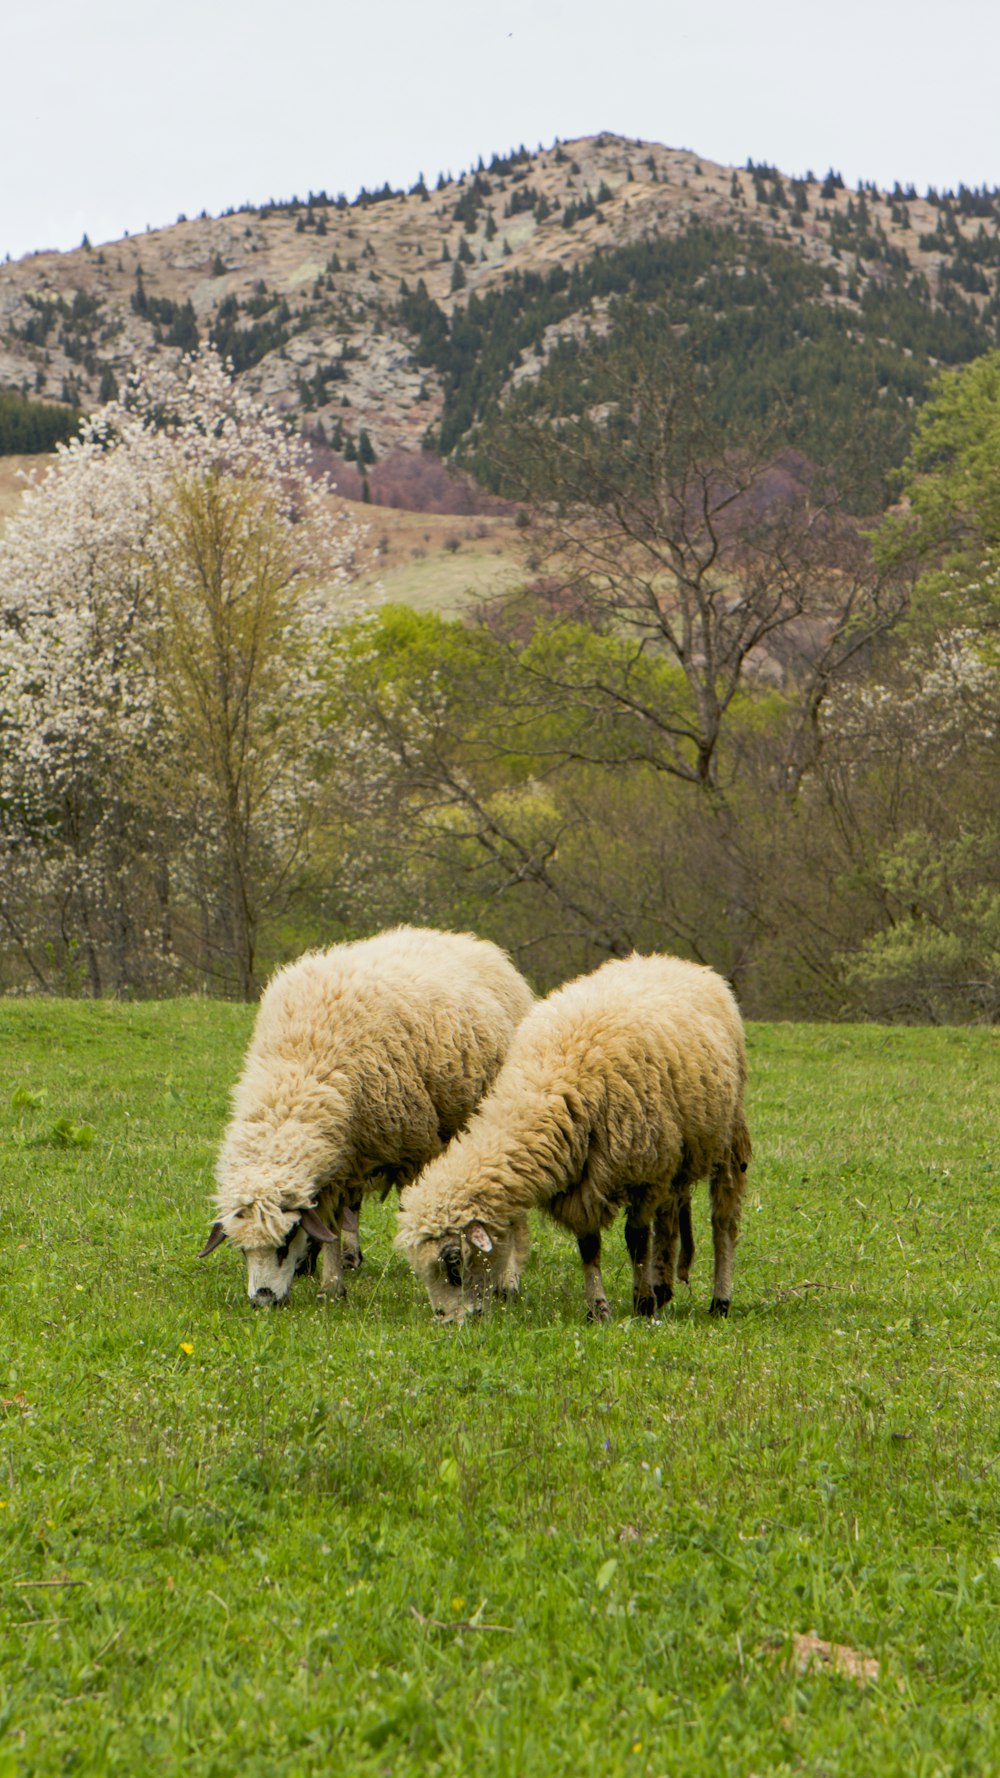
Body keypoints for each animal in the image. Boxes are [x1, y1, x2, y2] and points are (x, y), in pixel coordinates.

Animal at [197, 931, 533, 1308]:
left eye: (285, 1241)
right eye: (242, 1251)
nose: (263, 1300)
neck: (299, 1066)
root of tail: (469, 940)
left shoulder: (413, 1150)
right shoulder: (338, 1164)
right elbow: (329, 1225)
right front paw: (331, 1286)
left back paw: (508, 1280)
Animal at [395, 960, 747, 1322]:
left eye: (454, 1263)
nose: (448, 1321)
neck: (551, 1081)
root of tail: (676, 962)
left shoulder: (644, 1174)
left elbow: (636, 1240)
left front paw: (642, 1302)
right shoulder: (583, 1182)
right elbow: (589, 1246)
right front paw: (598, 1308)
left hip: (726, 1137)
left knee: (723, 1222)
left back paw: (719, 1299)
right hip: (676, 1153)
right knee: (668, 1217)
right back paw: (663, 1287)